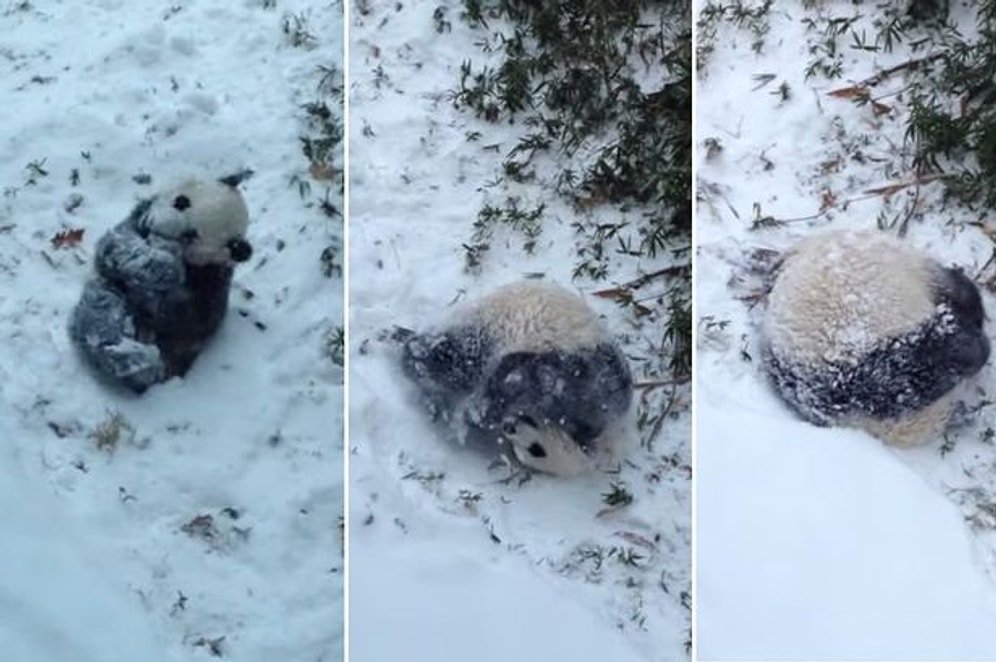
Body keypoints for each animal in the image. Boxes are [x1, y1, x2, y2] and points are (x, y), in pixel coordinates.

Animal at [69, 171, 254, 394]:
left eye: (190, 234)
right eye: (181, 202)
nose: (151, 222)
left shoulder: (211, 282)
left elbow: (186, 314)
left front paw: (167, 260)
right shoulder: (132, 224)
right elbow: (116, 247)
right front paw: (162, 260)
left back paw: (140, 363)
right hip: (109, 292)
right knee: (101, 317)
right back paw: (130, 355)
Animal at [398, 281, 634, 476]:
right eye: (537, 450)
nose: (509, 427)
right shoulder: (580, 374)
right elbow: (520, 377)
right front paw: (477, 413)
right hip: (487, 328)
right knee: (452, 357)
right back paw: (415, 356)